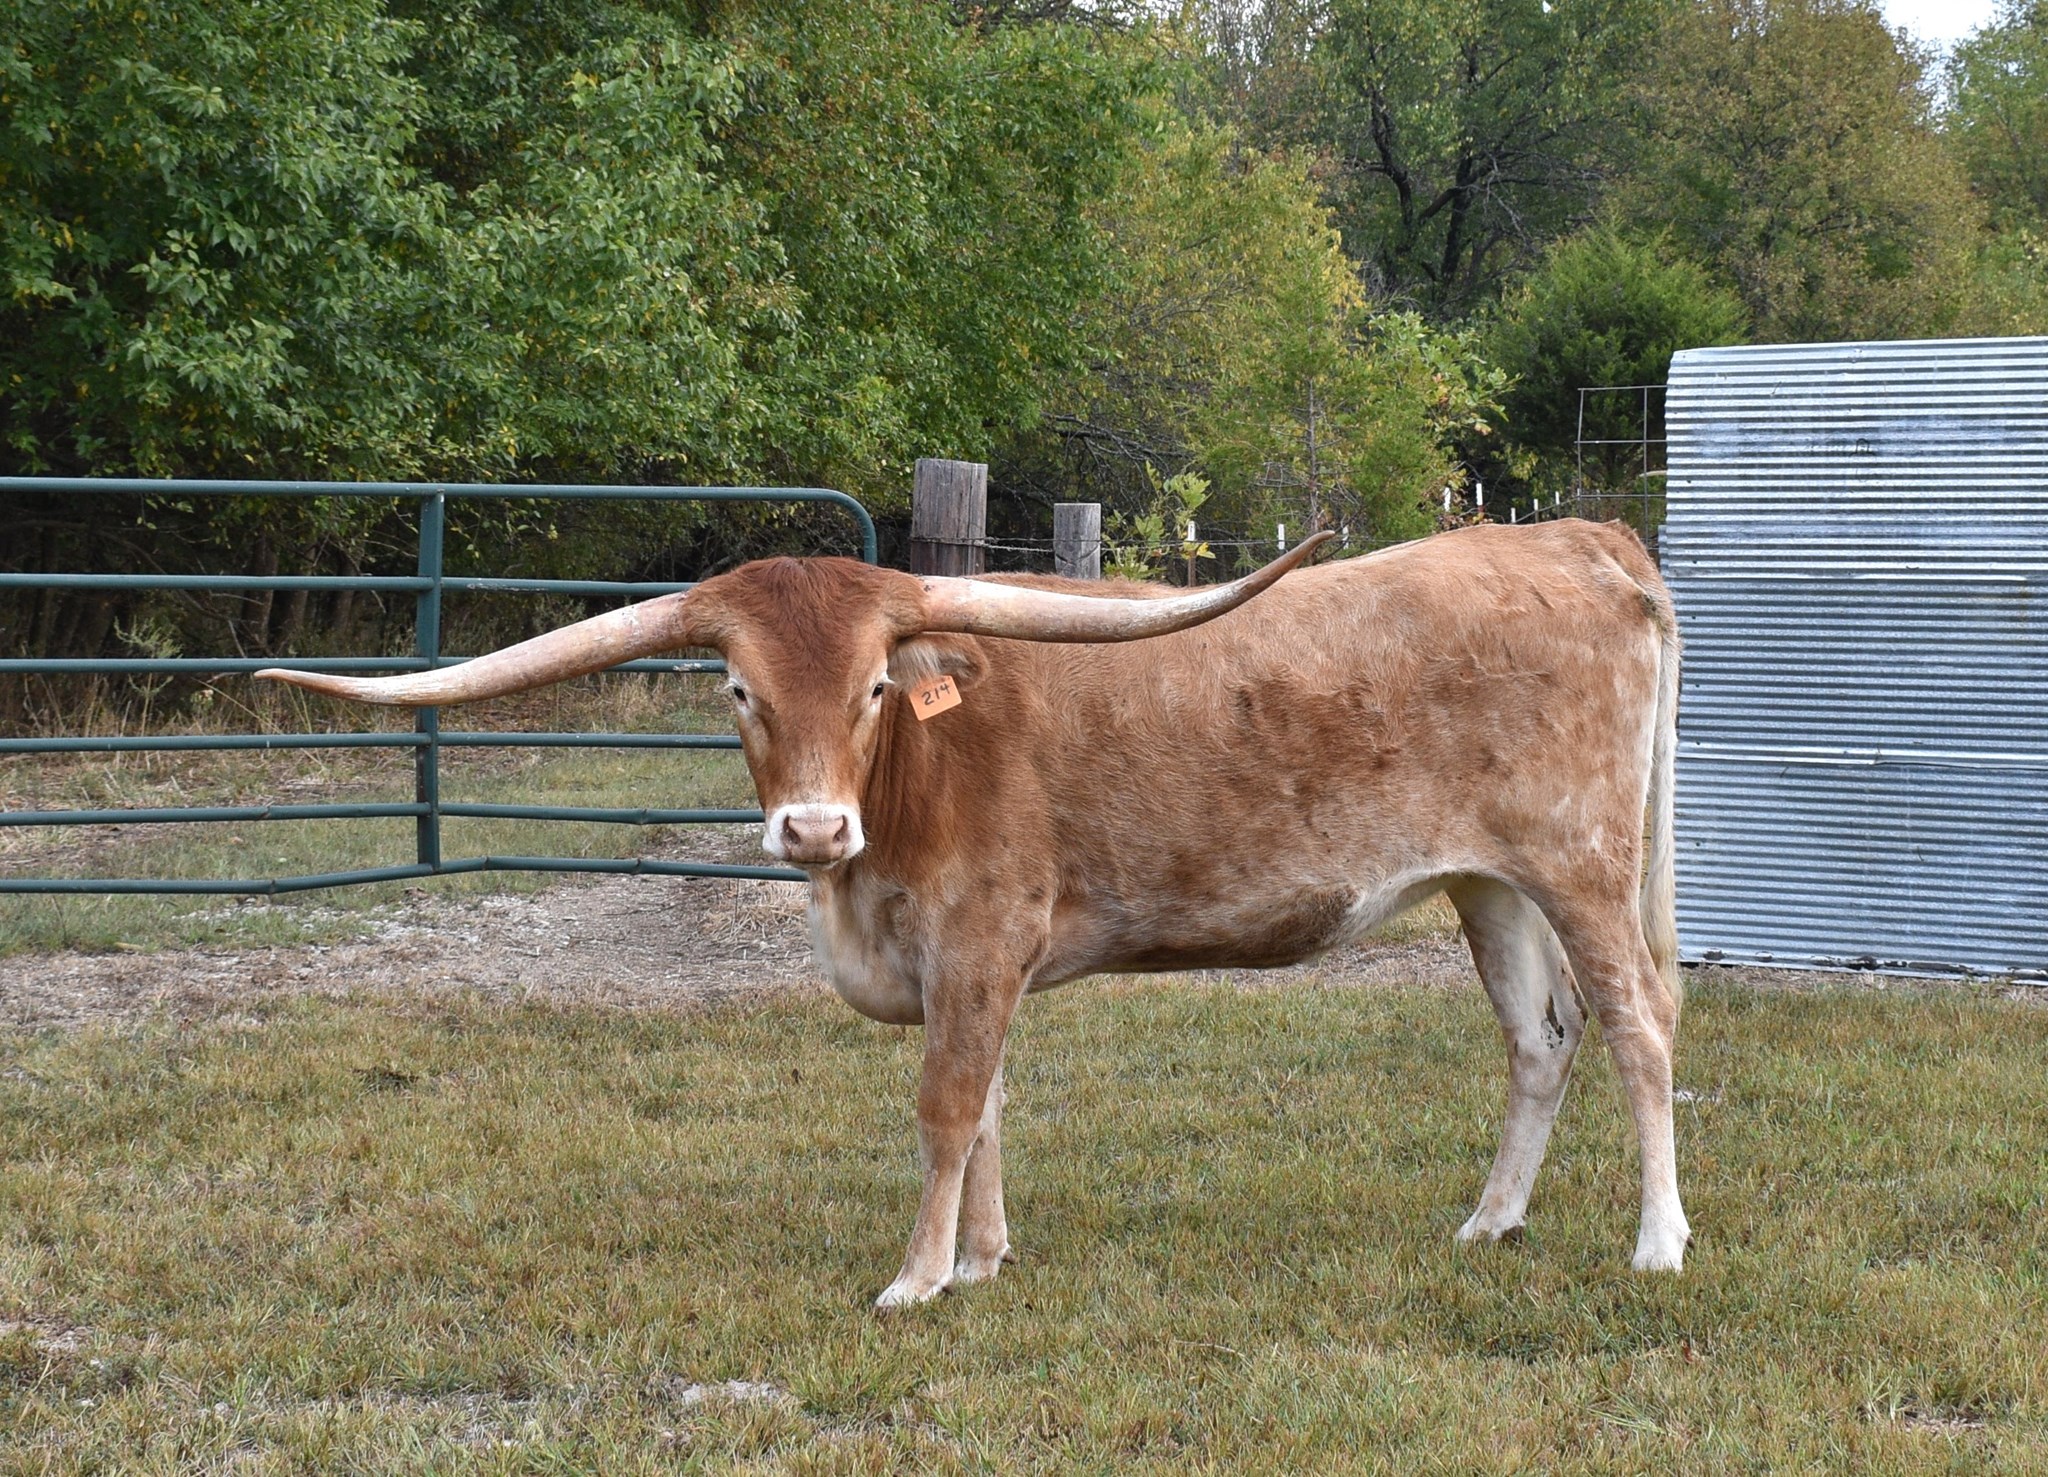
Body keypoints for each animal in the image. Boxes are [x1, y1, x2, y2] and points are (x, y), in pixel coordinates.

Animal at [258, 517, 1689, 1308]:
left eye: (875, 685)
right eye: (735, 690)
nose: (812, 829)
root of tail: (1575, 537)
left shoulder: (980, 933)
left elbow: (948, 1105)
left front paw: (915, 1276)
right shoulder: (969, 963)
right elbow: (991, 1099)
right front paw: (984, 1258)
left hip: (1581, 862)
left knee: (1638, 1029)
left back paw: (1656, 1244)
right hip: (1489, 881)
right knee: (1538, 1040)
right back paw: (1490, 1220)